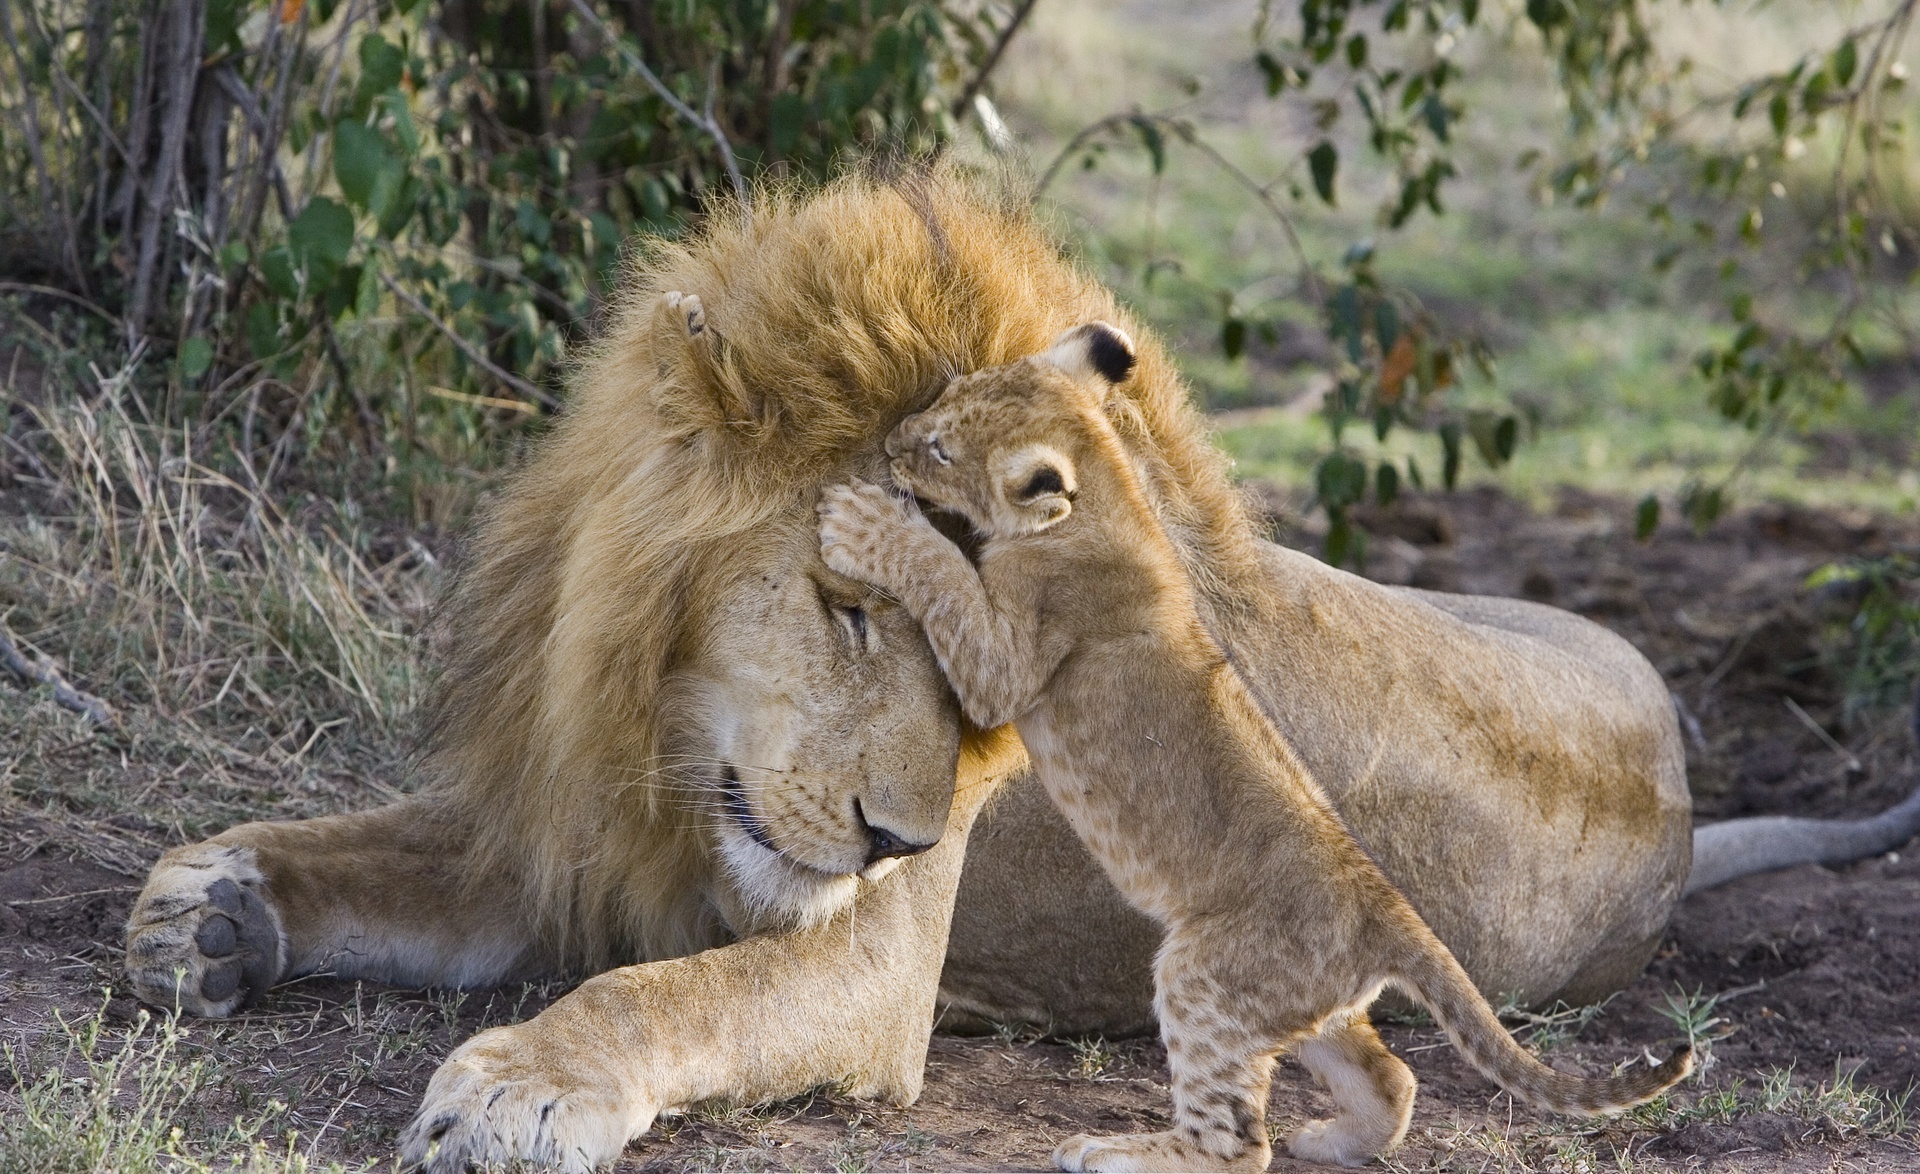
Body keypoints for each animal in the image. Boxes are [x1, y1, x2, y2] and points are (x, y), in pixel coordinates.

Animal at [127, 170, 1920, 1168]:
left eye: (981, 690)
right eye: (851, 613)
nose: (900, 835)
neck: (658, 719)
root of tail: (1682, 780)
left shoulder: (864, 960)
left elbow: (666, 988)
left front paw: (520, 1086)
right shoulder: (573, 824)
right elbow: (362, 848)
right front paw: (205, 908)